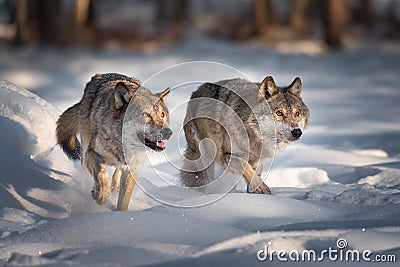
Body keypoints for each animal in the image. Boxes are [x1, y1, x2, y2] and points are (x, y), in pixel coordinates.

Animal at [55, 73, 172, 211]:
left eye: (163, 114)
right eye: (146, 115)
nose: (169, 132)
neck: (120, 145)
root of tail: (99, 75)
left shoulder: (132, 169)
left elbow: (124, 201)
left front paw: (118, 213)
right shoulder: (91, 153)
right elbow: (102, 173)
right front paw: (101, 195)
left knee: (117, 174)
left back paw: (114, 188)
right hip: (84, 154)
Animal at [180, 76, 310, 194]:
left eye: (297, 113)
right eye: (279, 113)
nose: (297, 132)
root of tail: (196, 91)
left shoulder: (258, 161)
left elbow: (253, 173)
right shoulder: (226, 155)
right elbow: (245, 166)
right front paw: (261, 188)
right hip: (205, 156)